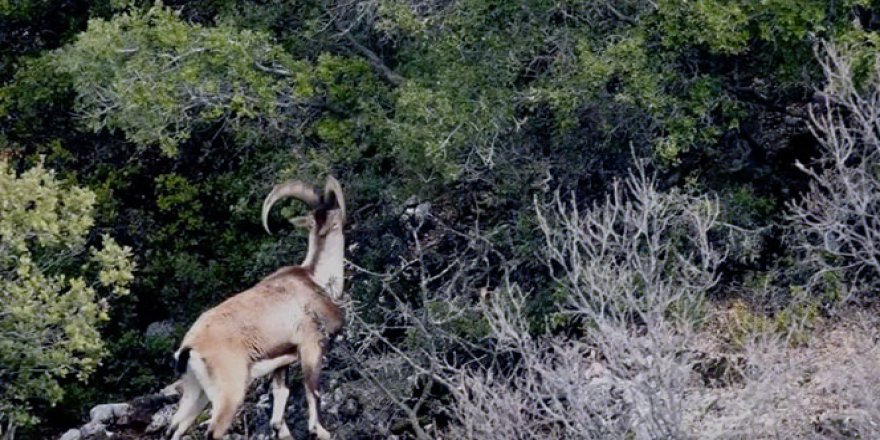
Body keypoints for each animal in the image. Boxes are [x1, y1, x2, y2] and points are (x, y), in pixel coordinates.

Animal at [165, 176, 348, 440]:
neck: (316, 278)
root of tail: (189, 348)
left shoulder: (282, 362)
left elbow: (280, 403)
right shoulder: (311, 346)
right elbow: (313, 390)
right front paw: (320, 431)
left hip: (194, 392)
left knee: (174, 428)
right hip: (229, 393)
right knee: (213, 430)